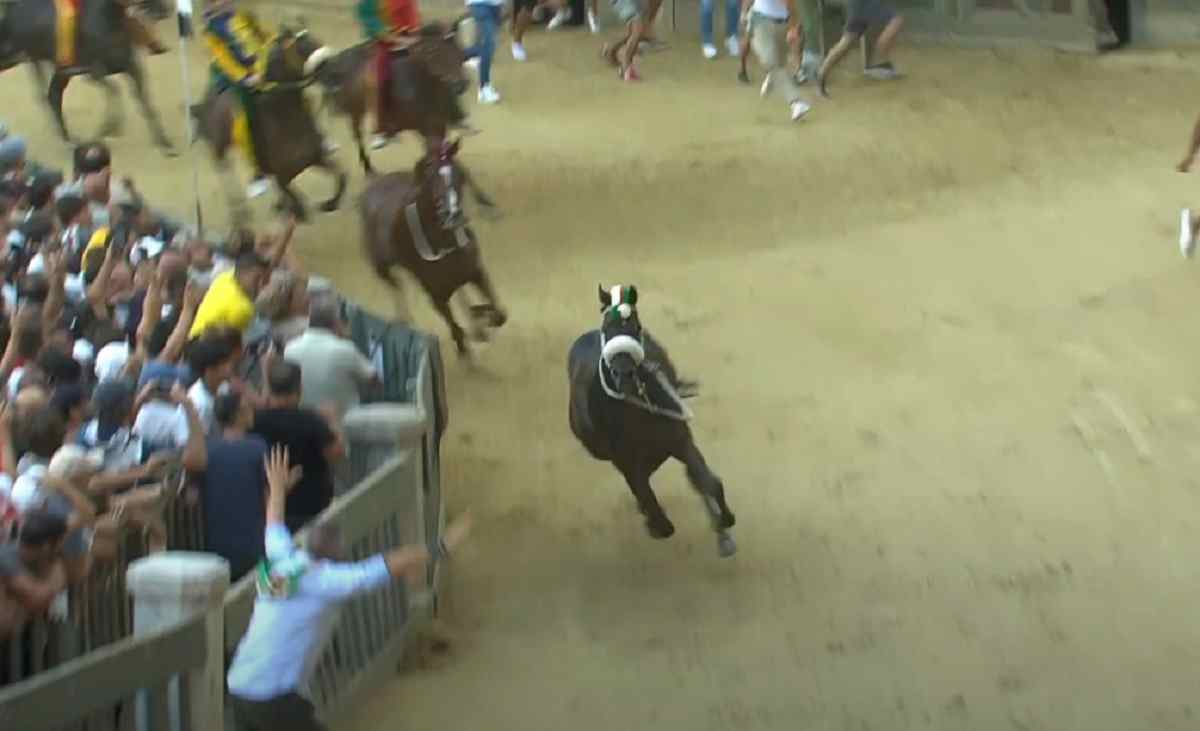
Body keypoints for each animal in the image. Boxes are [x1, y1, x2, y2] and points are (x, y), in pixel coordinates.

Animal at [314, 18, 468, 174]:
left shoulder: (439, 123)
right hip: (355, 111)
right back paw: (368, 166)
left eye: (458, 50)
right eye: (433, 52)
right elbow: (432, 150)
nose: (460, 85)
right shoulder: (422, 128)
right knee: (357, 135)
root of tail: (335, 63)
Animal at [566, 282, 734, 556]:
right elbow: (652, 505)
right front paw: (656, 523)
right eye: (606, 327)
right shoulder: (627, 463)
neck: (638, 412)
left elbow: (709, 483)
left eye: (636, 326)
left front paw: (725, 523)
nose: (623, 374)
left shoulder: (681, 442)